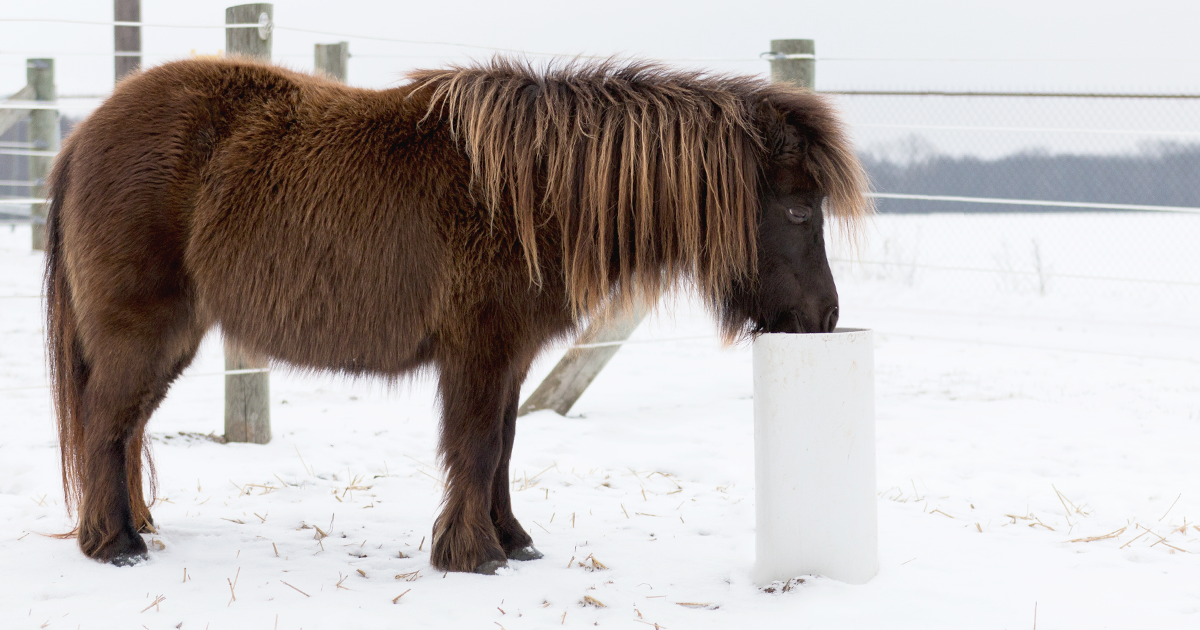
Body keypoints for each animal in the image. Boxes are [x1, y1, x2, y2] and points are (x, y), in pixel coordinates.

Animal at [42, 56, 868, 571]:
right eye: (798, 209)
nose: (823, 318)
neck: (531, 195)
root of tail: (83, 135)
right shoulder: (480, 349)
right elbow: (475, 446)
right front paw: (473, 555)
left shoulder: (510, 357)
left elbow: (502, 446)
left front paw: (513, 540)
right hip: (142, 331)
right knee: (106, 423)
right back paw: (113, 545)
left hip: (172, 339)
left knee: (124, 430)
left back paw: (136, 527)